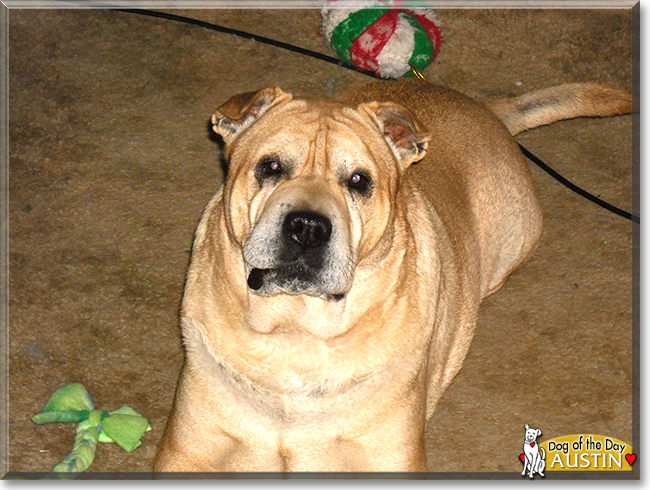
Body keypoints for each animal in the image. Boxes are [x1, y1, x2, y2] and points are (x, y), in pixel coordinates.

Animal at [153, 79, 628, 470]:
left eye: (359, 181)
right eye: (270, 167)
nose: (307, 227)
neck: (296, 332)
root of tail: (486, 108)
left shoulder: (392, 456)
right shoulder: (185, 451)